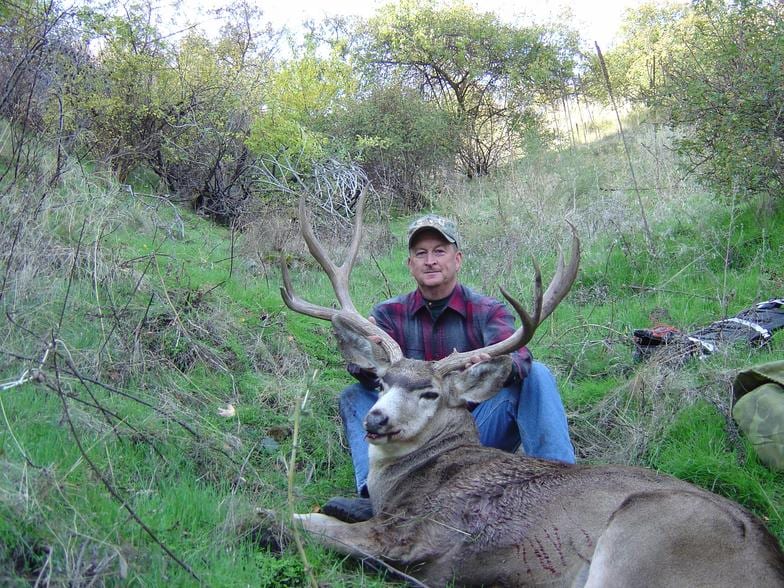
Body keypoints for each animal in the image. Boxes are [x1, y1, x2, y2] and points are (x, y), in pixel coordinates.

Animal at [278, 188, 784, 587]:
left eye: (431, 394)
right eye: (381, 381)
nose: (377, 417)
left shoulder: (421, 532)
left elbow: (307, 522)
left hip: (642, 542)